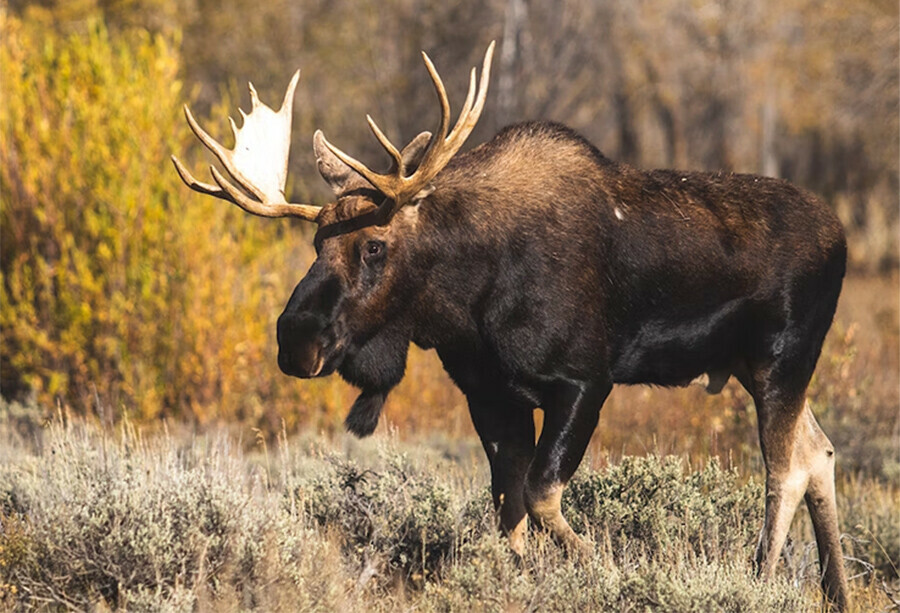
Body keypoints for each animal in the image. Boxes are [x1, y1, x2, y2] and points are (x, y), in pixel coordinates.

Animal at [174, 41, 852, 608]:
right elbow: (509, 506)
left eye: (374, 245)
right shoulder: (490, 393)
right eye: (317, 242)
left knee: (785, 467)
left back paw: (760, 579)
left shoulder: (584, 381)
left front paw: (604, 571)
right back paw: (836, 593)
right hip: (748, 365)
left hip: (781, 358)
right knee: (818, 450)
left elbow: (541, 493)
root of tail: (842, 237)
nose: (296, 338)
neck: (467, 303)